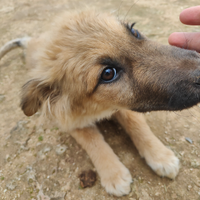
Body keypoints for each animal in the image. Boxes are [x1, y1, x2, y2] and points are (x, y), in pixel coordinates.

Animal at [1, 9, 200, 195]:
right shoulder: (71, 123)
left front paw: (160, 156)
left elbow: (137, 125)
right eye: (108, 74)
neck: (100, 108)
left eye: (134, 31)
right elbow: (94, 142)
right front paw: (114, 174)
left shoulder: (123, 107)